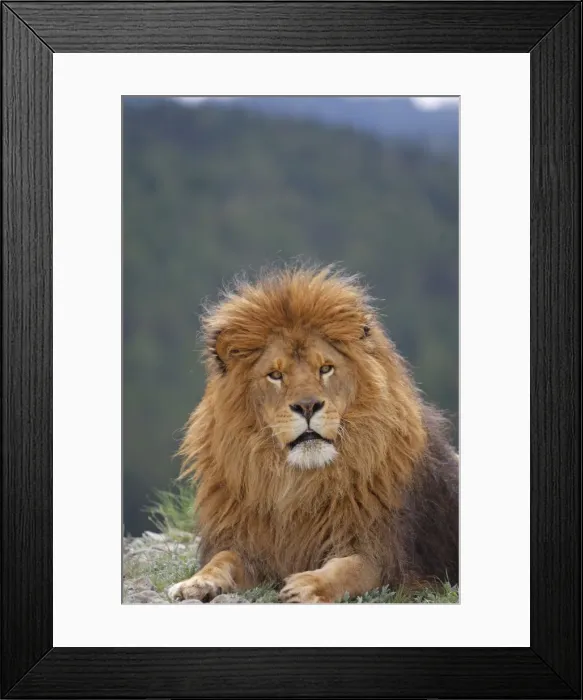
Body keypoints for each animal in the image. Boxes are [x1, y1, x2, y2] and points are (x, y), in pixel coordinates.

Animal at [168, 265, 458, 603]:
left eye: (326, 368)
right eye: (276, 375)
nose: (307, 406)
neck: (300, 482)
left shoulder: (386, 554)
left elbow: (348, 568)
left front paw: (306, 585)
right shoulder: (251, 547)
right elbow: (222, 559)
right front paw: (195, 582)